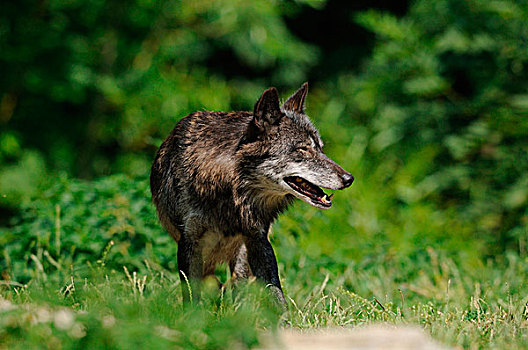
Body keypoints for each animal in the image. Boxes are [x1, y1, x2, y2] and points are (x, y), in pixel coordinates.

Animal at [151, 82, 352, 306]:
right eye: (303, 149)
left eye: (321, 149)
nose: (349, 178)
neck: (231, 193)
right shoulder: (189, 242)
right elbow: (191, 294)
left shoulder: (258, 239)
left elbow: (276, 291)